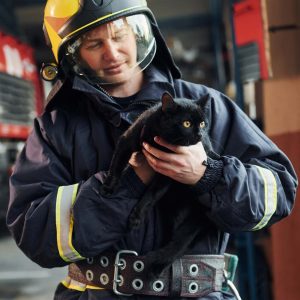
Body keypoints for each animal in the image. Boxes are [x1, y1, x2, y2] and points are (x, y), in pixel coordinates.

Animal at [102, 91, 217, 276]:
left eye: (202, 123)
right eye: (186, 123)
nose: (200, 134)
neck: (163, 141)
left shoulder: (168, 174)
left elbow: (151, 195)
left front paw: (136, 217)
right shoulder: (127, 140)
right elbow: (116, 165)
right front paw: (108, 188)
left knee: (181, 245)